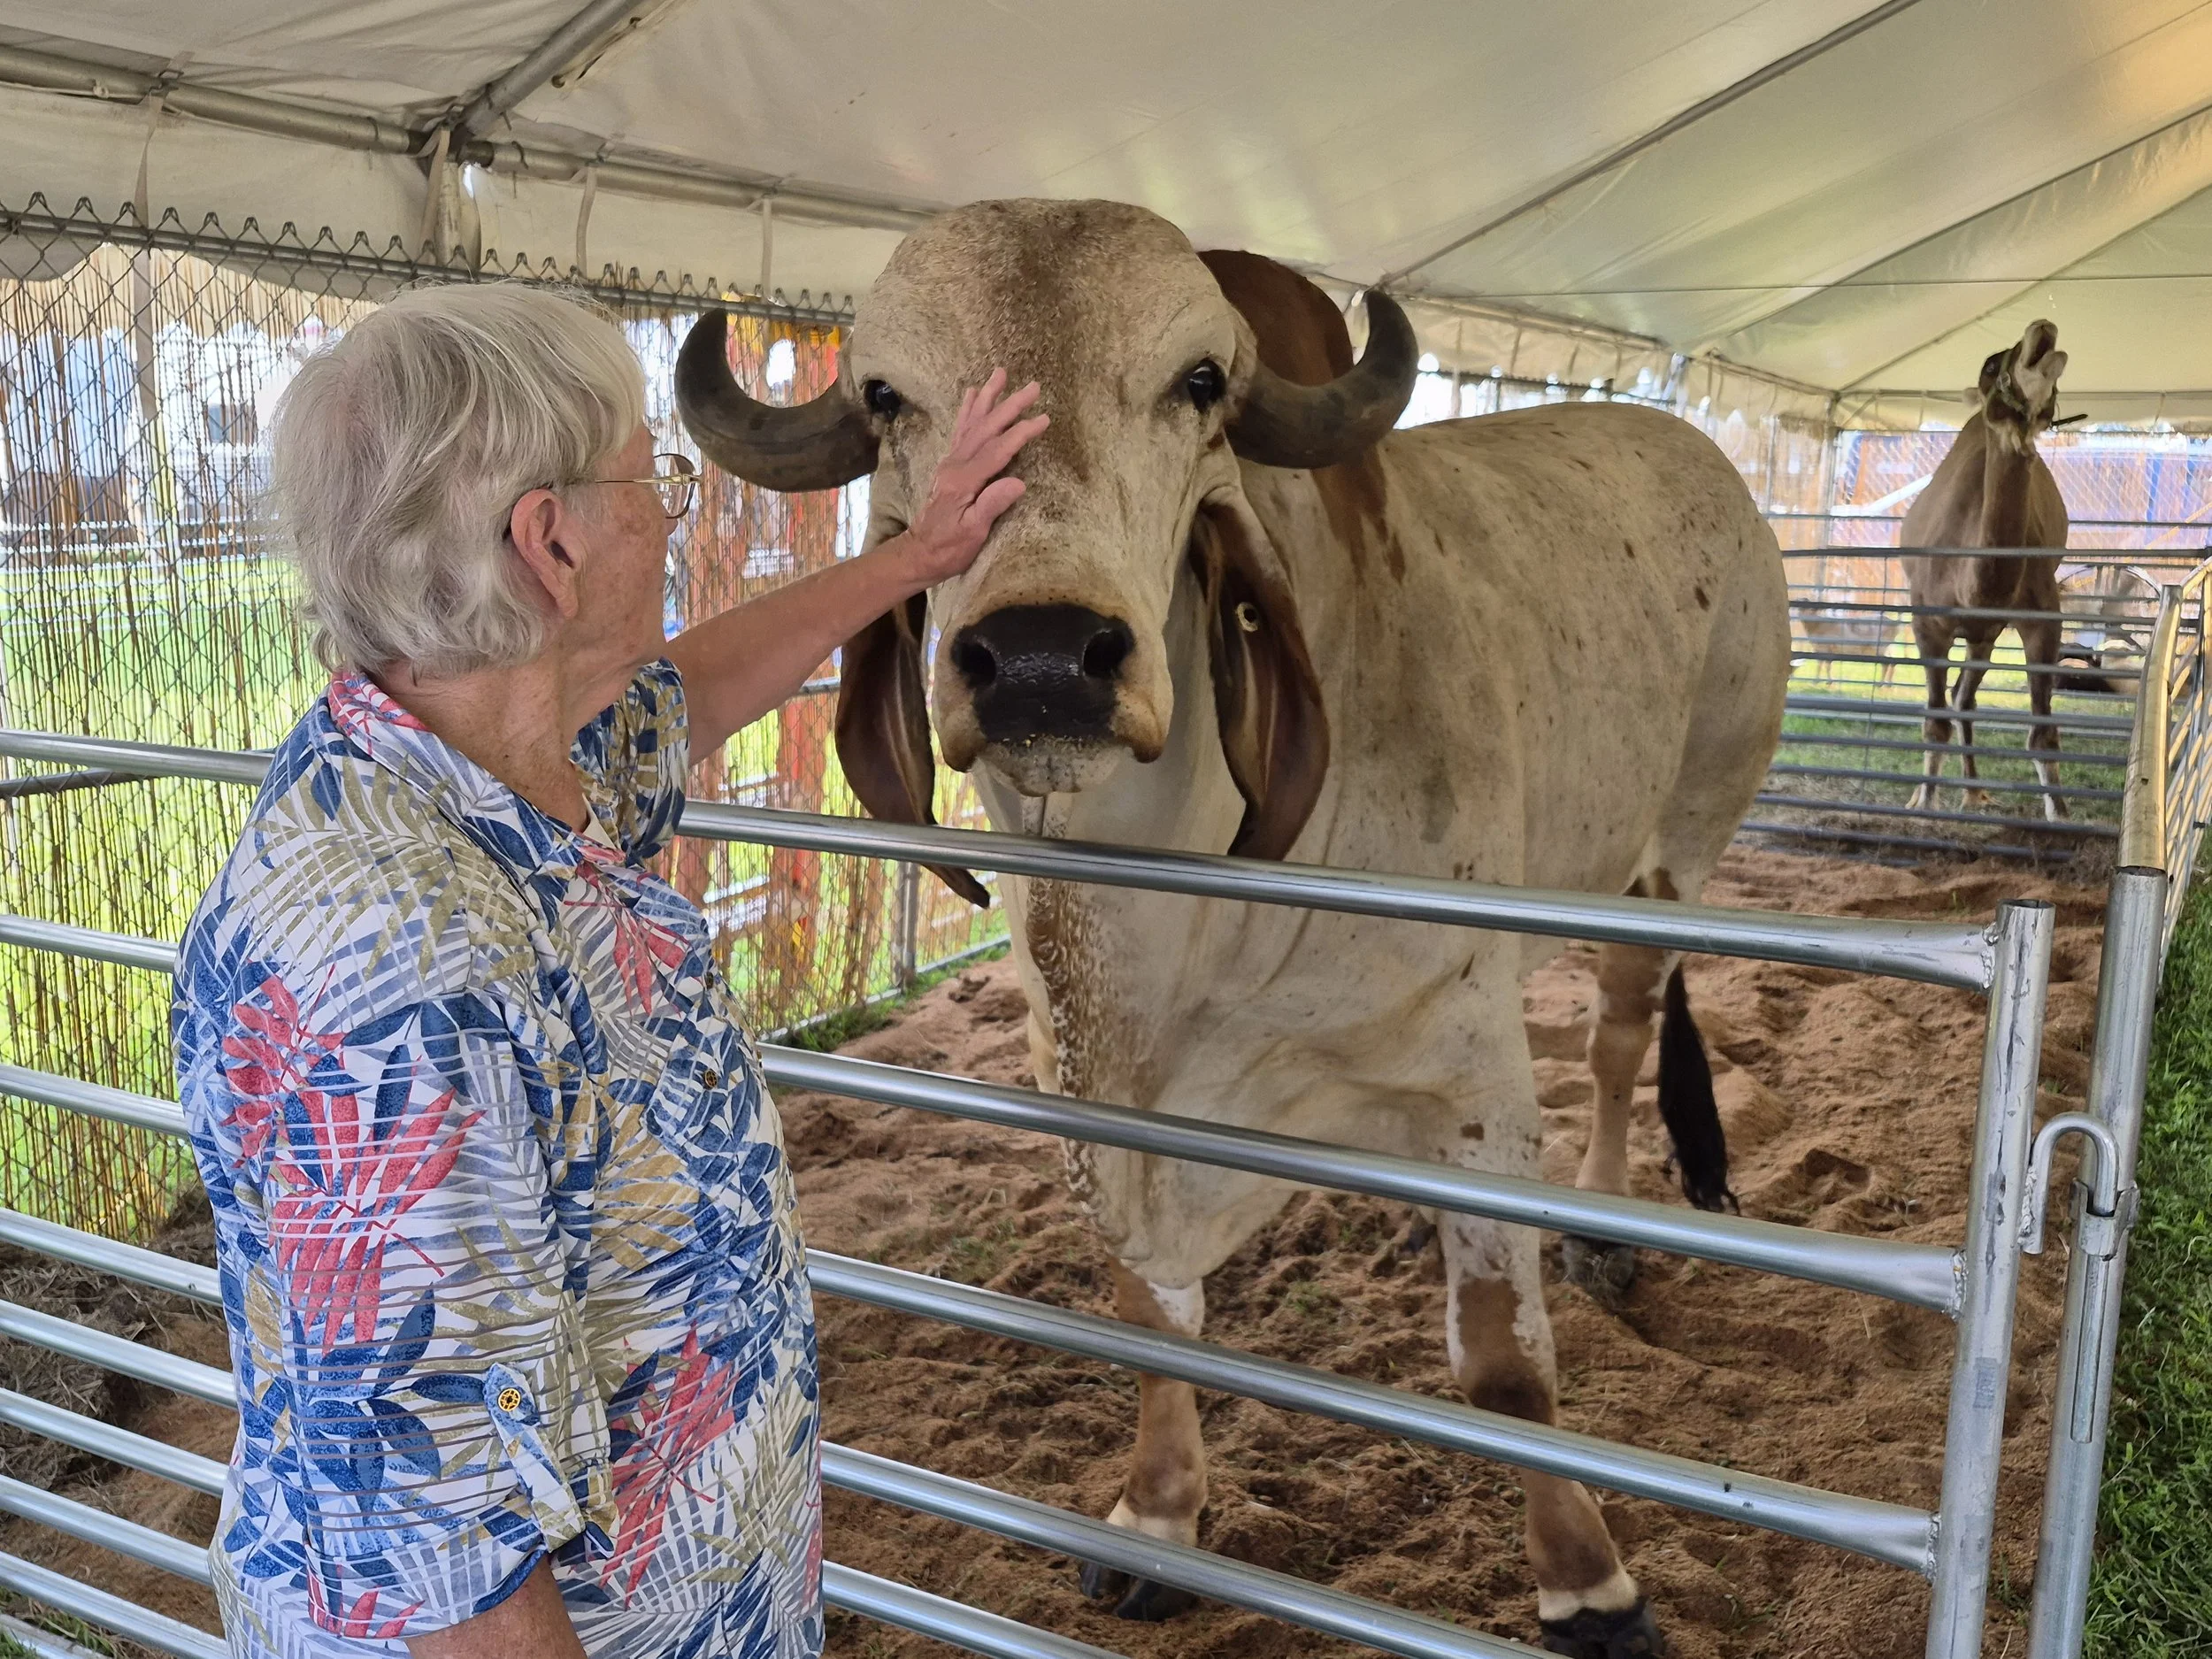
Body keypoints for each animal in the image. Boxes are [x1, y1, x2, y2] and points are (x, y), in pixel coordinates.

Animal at [677, 199, 1791, 1657]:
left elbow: (1503, 1362)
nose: (1041, 659)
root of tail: (1695, 451)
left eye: (1200, 382)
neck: (1181, 920)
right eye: (883, 396)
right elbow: (1152, 1314)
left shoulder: (1475, 1074)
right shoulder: (1094, 1098)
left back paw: (1604, 1223)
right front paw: (1156, 1521)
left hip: (1676, 850)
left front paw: (1590, 1585)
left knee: (1614, 1039)